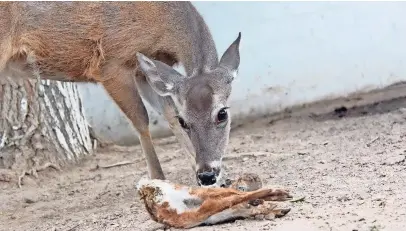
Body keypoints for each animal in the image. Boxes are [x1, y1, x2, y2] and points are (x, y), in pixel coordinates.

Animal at [0, 1, 241, 186]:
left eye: (222, 113)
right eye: (186, 121)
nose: (207, 175)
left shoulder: (145, 71)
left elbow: (168, 113)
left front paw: (217, 178)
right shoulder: (110, 64)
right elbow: (141, 119)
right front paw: (158, 178)